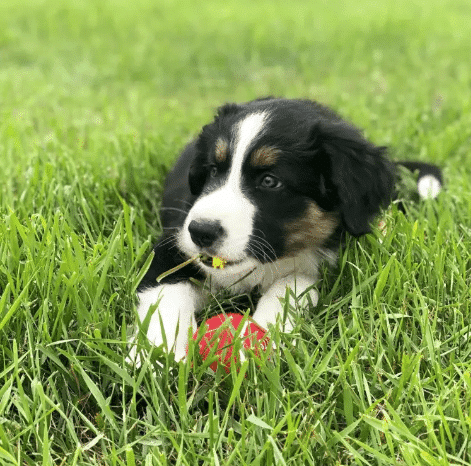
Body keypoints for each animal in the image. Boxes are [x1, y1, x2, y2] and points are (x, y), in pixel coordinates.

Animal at [129, 97, 442, 360]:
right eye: (213, 170)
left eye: (270, 181)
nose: (200, 232)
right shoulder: (172, 249)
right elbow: (166, 299)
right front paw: (154, 355)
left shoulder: (315, 265)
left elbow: (288, 289)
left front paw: (256, 342)